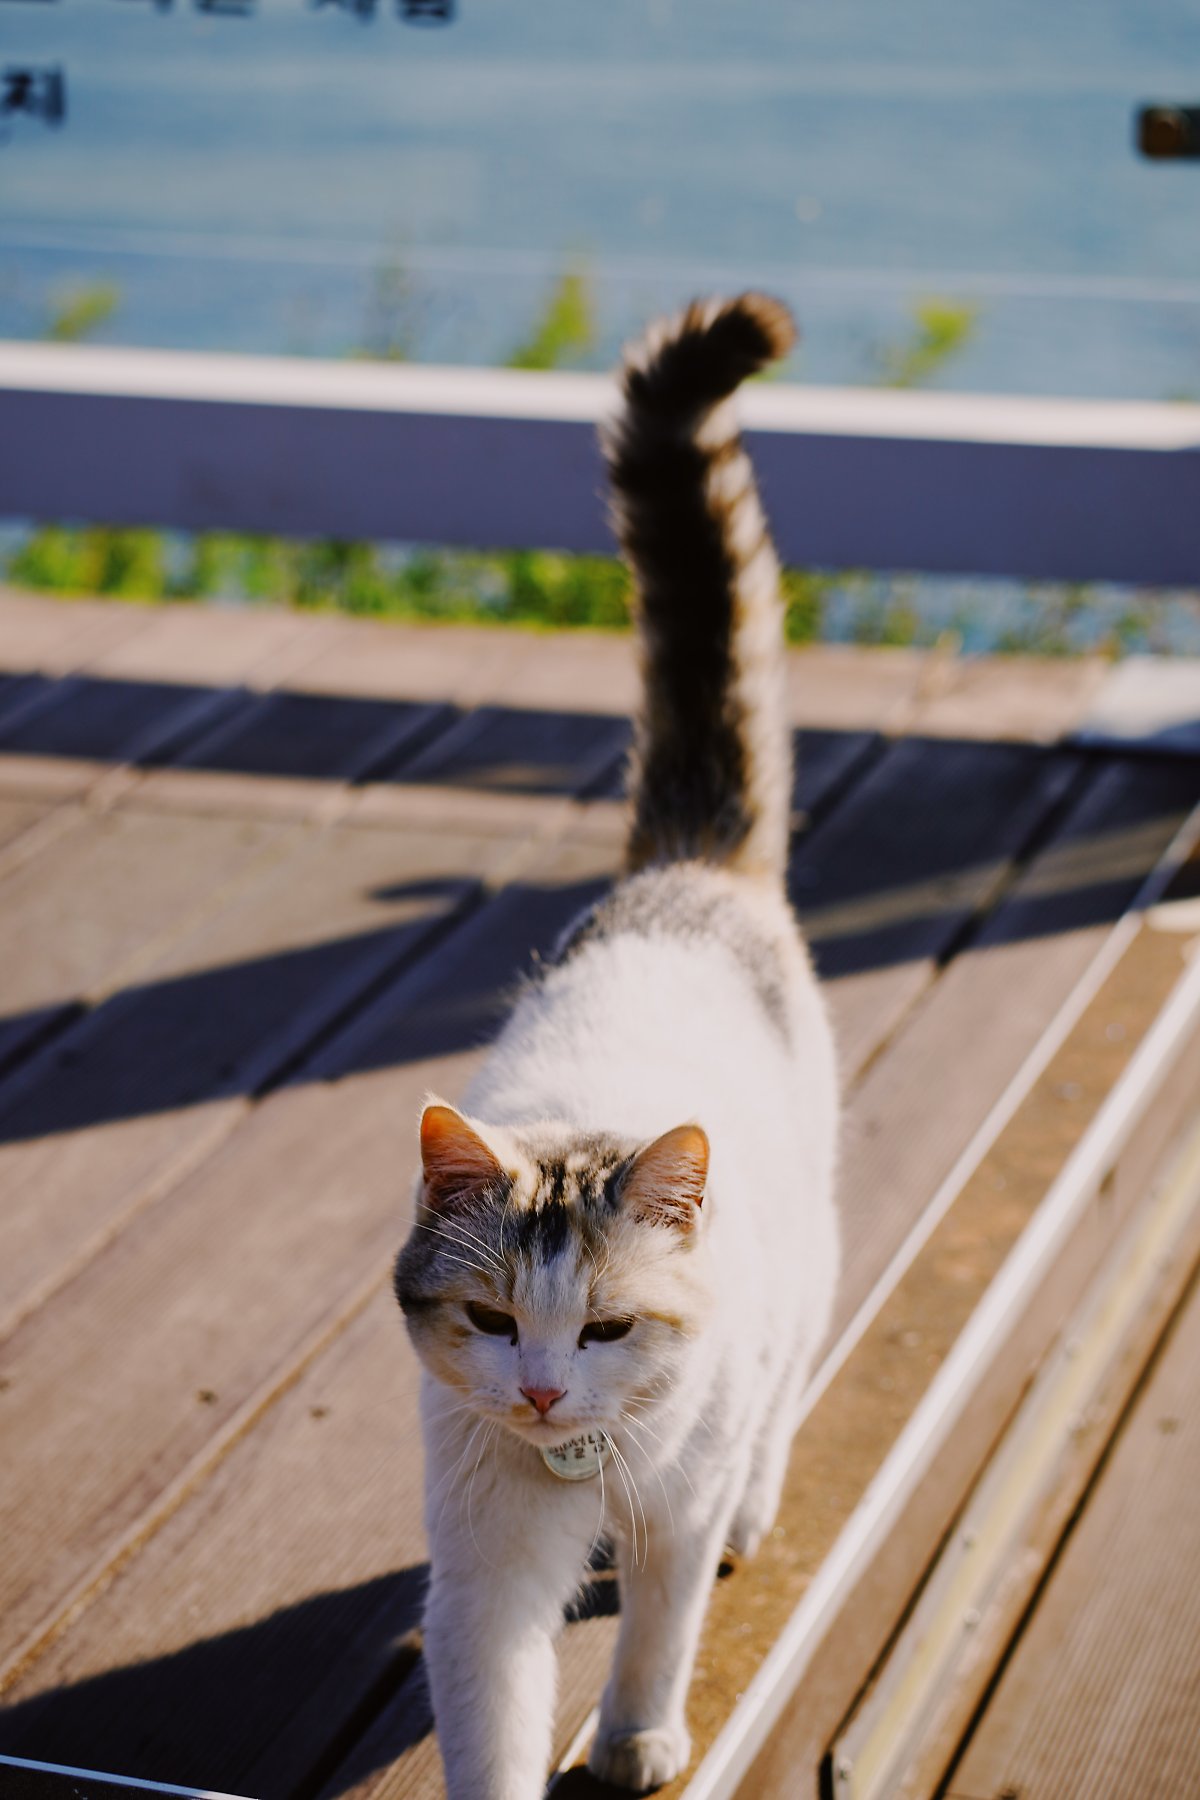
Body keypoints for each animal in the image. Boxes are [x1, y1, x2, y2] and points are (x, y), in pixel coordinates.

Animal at [399, 295, 841, 1800]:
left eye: (606, 1326)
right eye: (491, 1323)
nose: (539, 1391)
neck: (580, 1472)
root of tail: (687, 870)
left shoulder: (672, 1504)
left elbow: (663, 1621)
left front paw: (638, 1738)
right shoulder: (480, 1564)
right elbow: (491, 1714)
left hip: (803, 1272)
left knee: (780, 1392)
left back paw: (765, 1499)